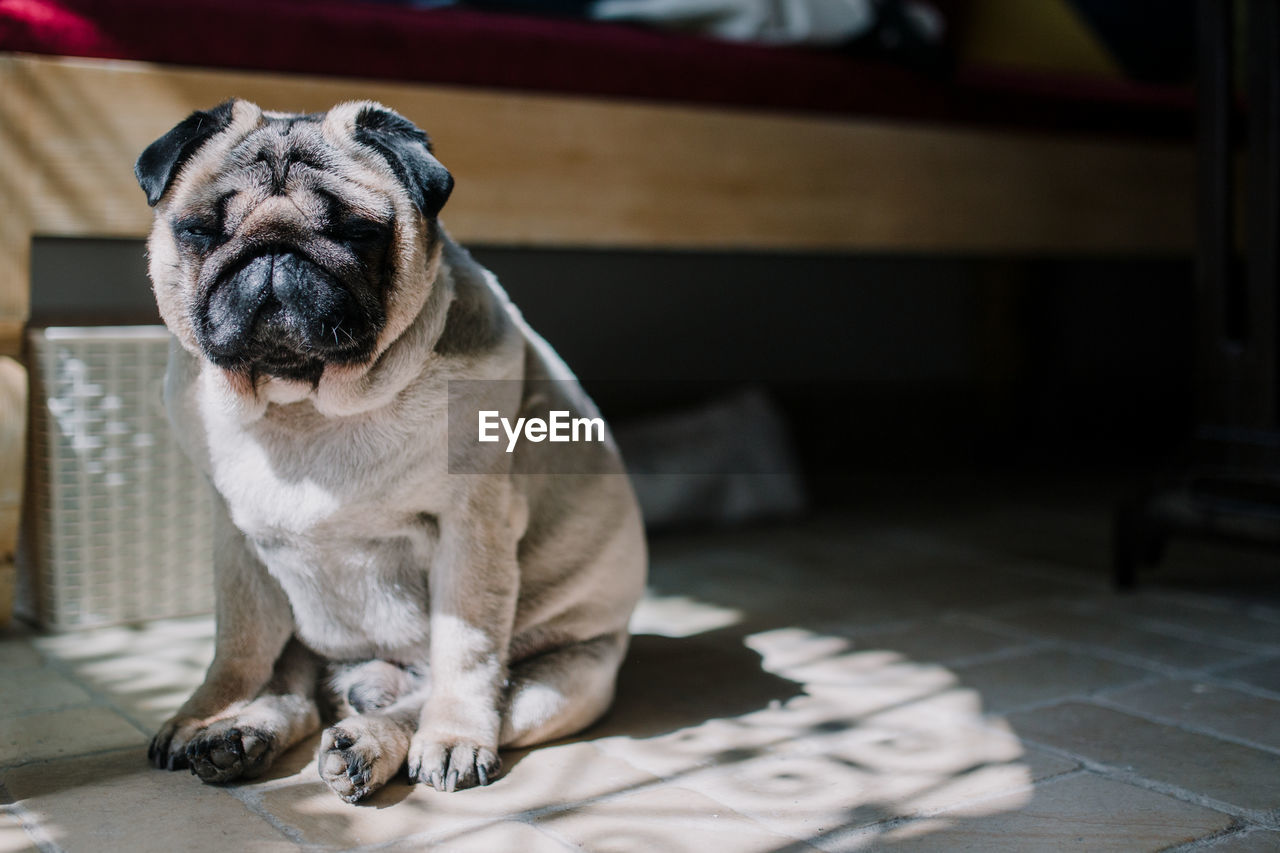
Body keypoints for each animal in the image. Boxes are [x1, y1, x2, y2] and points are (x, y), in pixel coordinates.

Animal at [135, 101, 645, 804]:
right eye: (200, 232)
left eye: (356, 232)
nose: (273, 250)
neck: (307, 409)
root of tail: (372, 678)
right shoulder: (235, 544)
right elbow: (236, 649)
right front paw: (206, 713)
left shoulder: (472, 533)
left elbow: (465, 651)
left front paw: (452, 737)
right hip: (306, 642)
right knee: (294, 693)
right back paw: (237, 736)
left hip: (569, 676)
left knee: (448, 699)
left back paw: (372, 746)